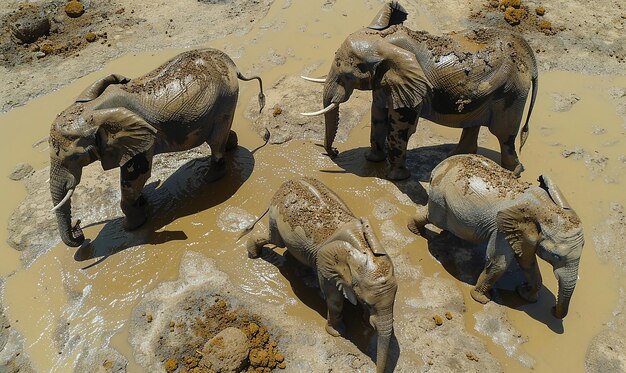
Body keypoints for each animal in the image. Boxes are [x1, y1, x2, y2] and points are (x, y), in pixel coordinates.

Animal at [48, 47, 264, 247]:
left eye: (75, 158)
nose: (78, 228)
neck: (90, 110)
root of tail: (231, 64)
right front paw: (142, 203)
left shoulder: (140, 139)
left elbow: (134, 178)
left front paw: (131, 226)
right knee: (221, 134)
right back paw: (231, 146)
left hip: (225, 98)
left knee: (216, 141)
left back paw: (210, 178)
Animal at [244, 177, 394, 372]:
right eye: (369, 304)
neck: (362, 247)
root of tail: (286, 183)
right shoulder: (327, 267)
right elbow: (335, 300)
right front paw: (338, 333)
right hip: (276, 216)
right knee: (275, 240)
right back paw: (253, 254)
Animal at [302, 2, 536, 180]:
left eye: (345, 73)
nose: (334, 152)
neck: (384, 41)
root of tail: (529, 57)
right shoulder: (385, 82)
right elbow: (378, 115)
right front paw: (372, 159)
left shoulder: (412, 86)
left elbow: (401, 126)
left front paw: (396, 178)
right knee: (474, 124)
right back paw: (454, 157)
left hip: (512, 91)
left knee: (503, 134)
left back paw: (513, 173)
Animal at [408, 153, 584, 318]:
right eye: (556, 256)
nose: (553, 310)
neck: (546, 209)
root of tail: (440, 165)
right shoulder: (502, 228)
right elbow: (499, 263)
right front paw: (481, 299)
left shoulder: (524, 236)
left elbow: (527, 262)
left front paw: (526, 295)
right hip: (440, 196)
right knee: (433, 218)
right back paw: (415, 231)